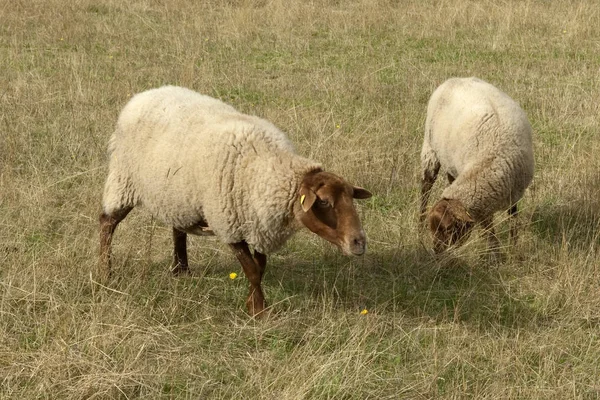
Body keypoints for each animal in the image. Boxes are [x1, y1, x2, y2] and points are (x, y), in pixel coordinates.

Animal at [99, 86, 372, 318]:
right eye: (324, 202)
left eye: (351, 197)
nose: (359, 242)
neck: (267, 171)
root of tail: (143, 95)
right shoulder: (229, 224)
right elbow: (252, 271)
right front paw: (259, 312)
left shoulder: (261, 224)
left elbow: (260, 268)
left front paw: (252, 303)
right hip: (123, 180)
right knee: (106, 224)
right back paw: (105, 272)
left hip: (178, 195)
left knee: (178, 229)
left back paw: (181, 270)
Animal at [418, 77, 536, 253]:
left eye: (448, 229)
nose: (437, 252)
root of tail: (455, 79)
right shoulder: (484, 205)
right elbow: (489, 232)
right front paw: (494, 254)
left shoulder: (513, 193)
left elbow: (513, 223)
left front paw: (512, 249)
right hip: (430, 149)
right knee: (425, 189)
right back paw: (419, 224)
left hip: (450, 160)